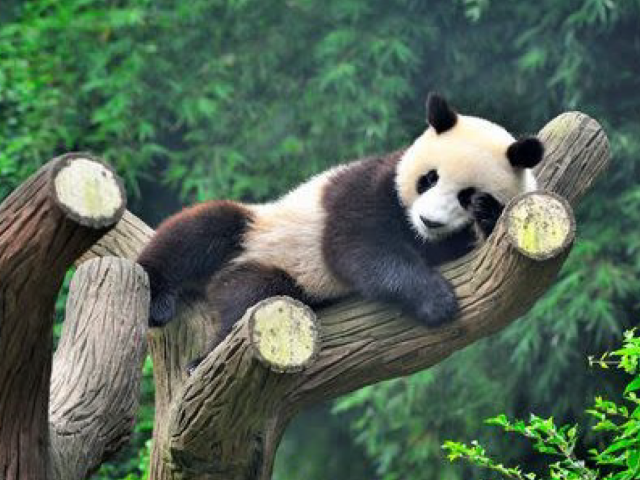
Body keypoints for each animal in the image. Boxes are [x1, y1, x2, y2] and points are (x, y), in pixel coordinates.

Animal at [138, 93, 544, 345]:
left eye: (465, 195)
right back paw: (163, 306)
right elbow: (359, 248)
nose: (429, 221)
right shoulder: (367, 188)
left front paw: (486, 215)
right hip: (260, 231)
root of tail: (223, 278)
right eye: (429, 178)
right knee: (200, 231)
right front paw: (436, 300)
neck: (414, 231)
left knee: (253, 292)